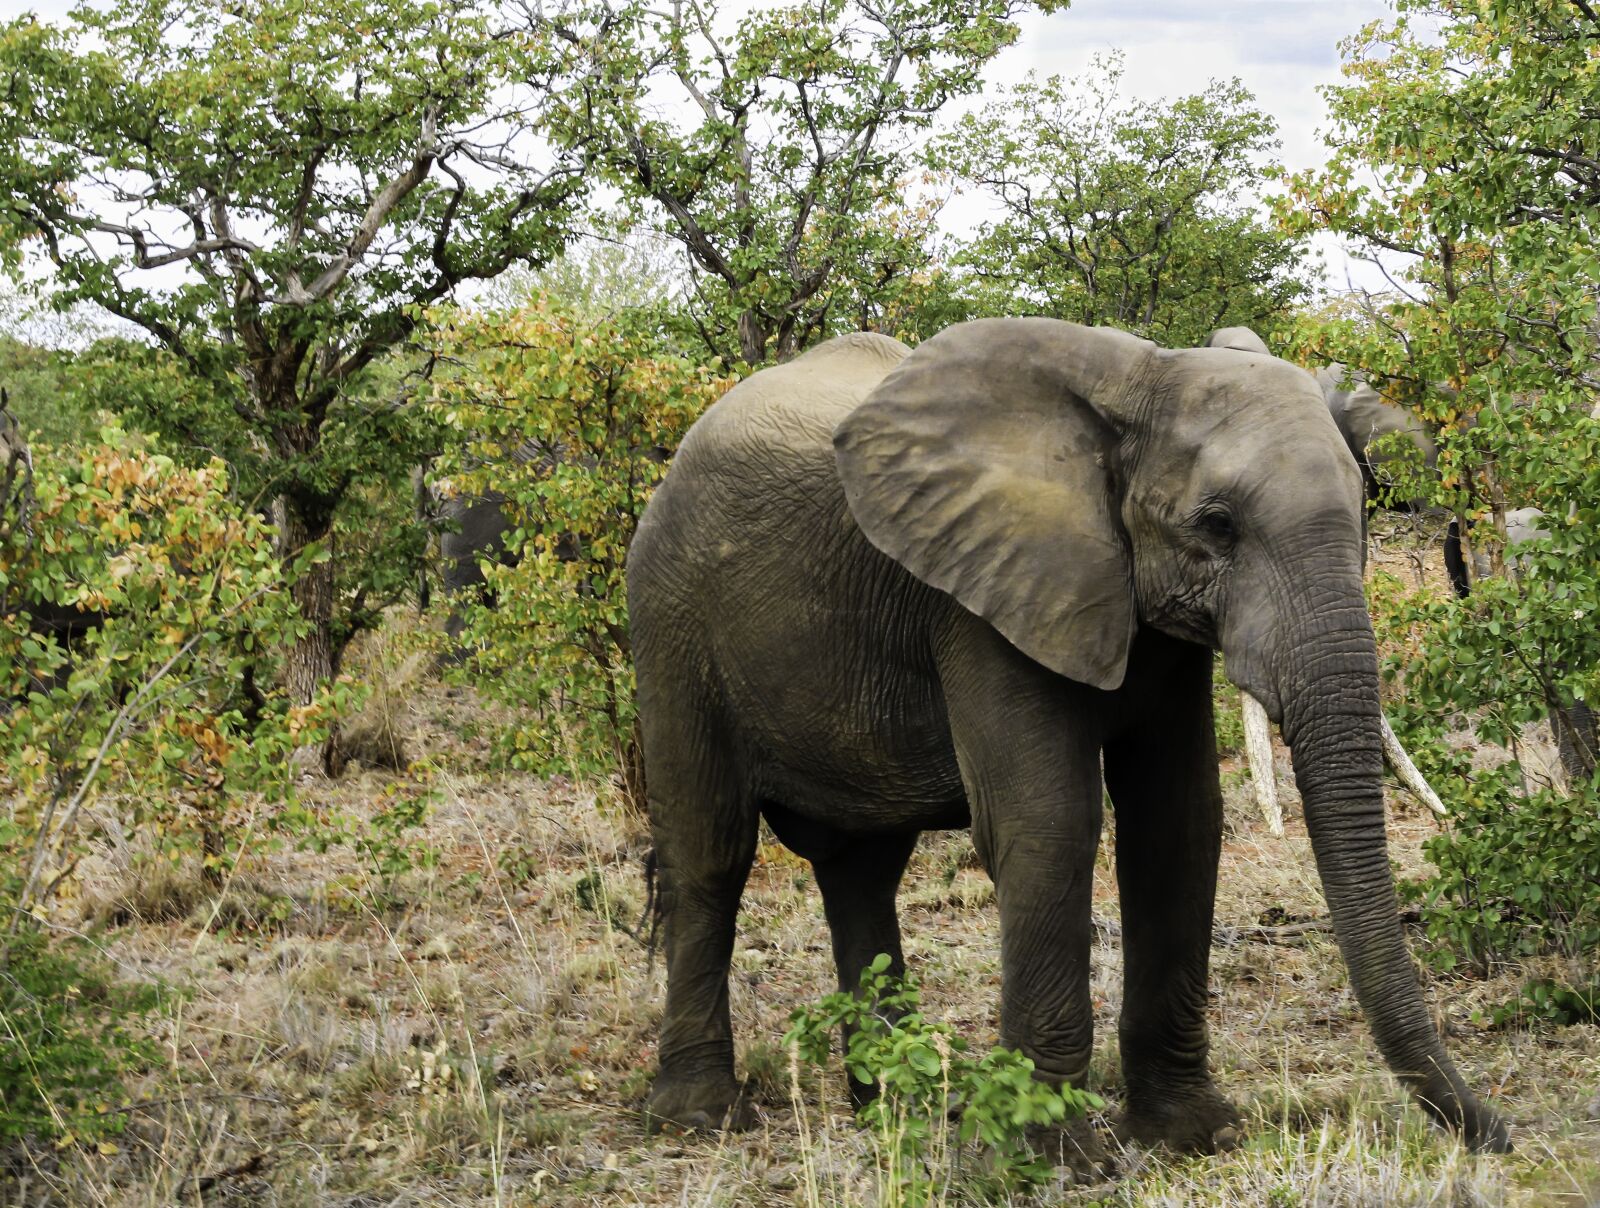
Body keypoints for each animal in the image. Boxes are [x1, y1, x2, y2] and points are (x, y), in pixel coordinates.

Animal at [627, 319, 1511, 1157]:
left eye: (1365, 510)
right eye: (1218, 526)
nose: (1497, 1136)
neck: (1140, 381)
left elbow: (1179, 821)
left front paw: (1192, 1136)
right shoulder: (983, 595)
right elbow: (1051, 822)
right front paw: (1045, 1156)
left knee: (861, 870)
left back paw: (900, 1110)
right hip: (670, 618)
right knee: (711, 851)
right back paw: (702, 1117)